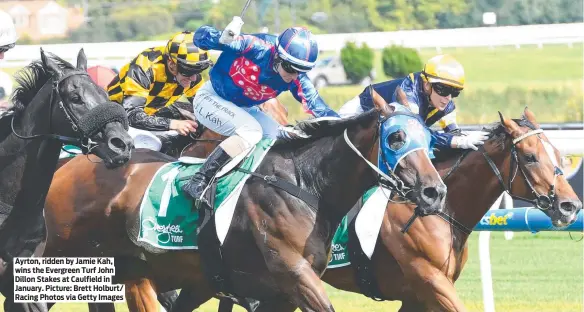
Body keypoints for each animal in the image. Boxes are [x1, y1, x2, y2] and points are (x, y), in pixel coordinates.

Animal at [44, 89, 448, 310]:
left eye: (429, 139)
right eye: (396, 137)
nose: (434, 191)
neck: (304, 185)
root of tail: (67, 166)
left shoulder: (276, 295)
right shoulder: (295, 276)